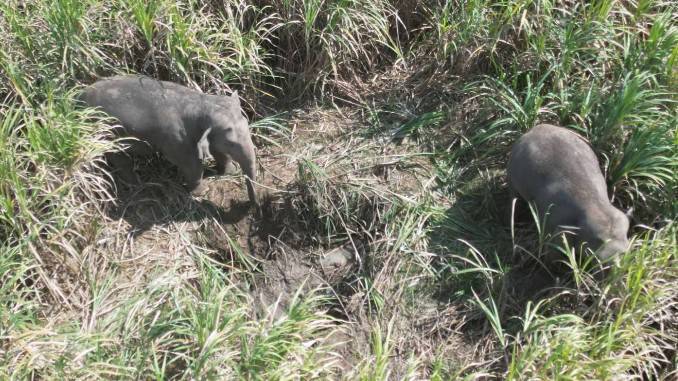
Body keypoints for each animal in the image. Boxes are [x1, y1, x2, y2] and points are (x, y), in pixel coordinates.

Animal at [79, 74, 260, 211]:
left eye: (247, 124)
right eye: (231, 143)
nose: (251, 205)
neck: (202, 103)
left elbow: (217, 151)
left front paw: (230, 171)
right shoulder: (177, 140)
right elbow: (191, 164)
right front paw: (201, 192)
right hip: (104, 133)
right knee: (118, 156)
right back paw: (137, 184)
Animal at [510, 123, 632, 260]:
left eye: (626, 253)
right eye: (599, 241)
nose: (613, 258)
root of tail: (536, 127)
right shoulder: (553, 224)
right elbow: (553, 248)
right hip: (512, 180)